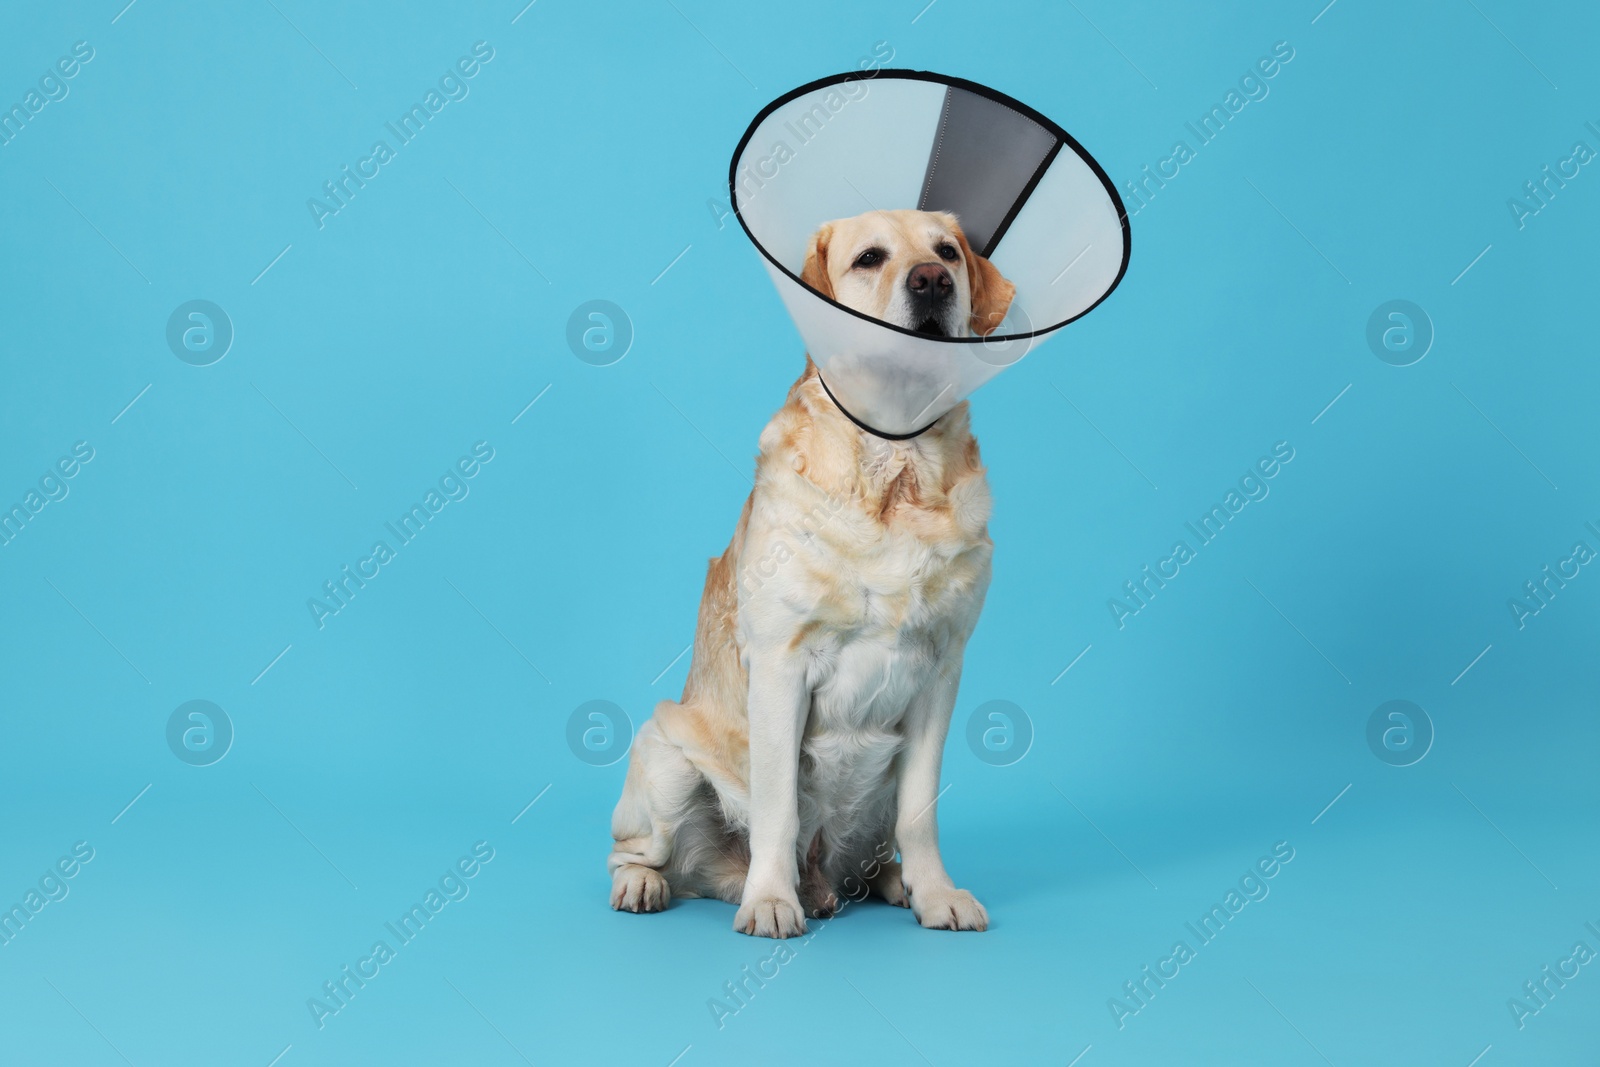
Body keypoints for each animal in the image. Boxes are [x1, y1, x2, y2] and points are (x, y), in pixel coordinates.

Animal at [608, 212, 1011, 940]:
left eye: (947, 253)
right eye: (869, 258)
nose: (932, 281)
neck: (894, 466)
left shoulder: (941, 670)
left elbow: (921, 810)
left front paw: (938, 892)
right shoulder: (780, 665)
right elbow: (778, 805)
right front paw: (771, 898)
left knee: (878, 851)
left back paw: (890, 883)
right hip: (666, 750)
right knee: (639, 851)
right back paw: (648, 884)